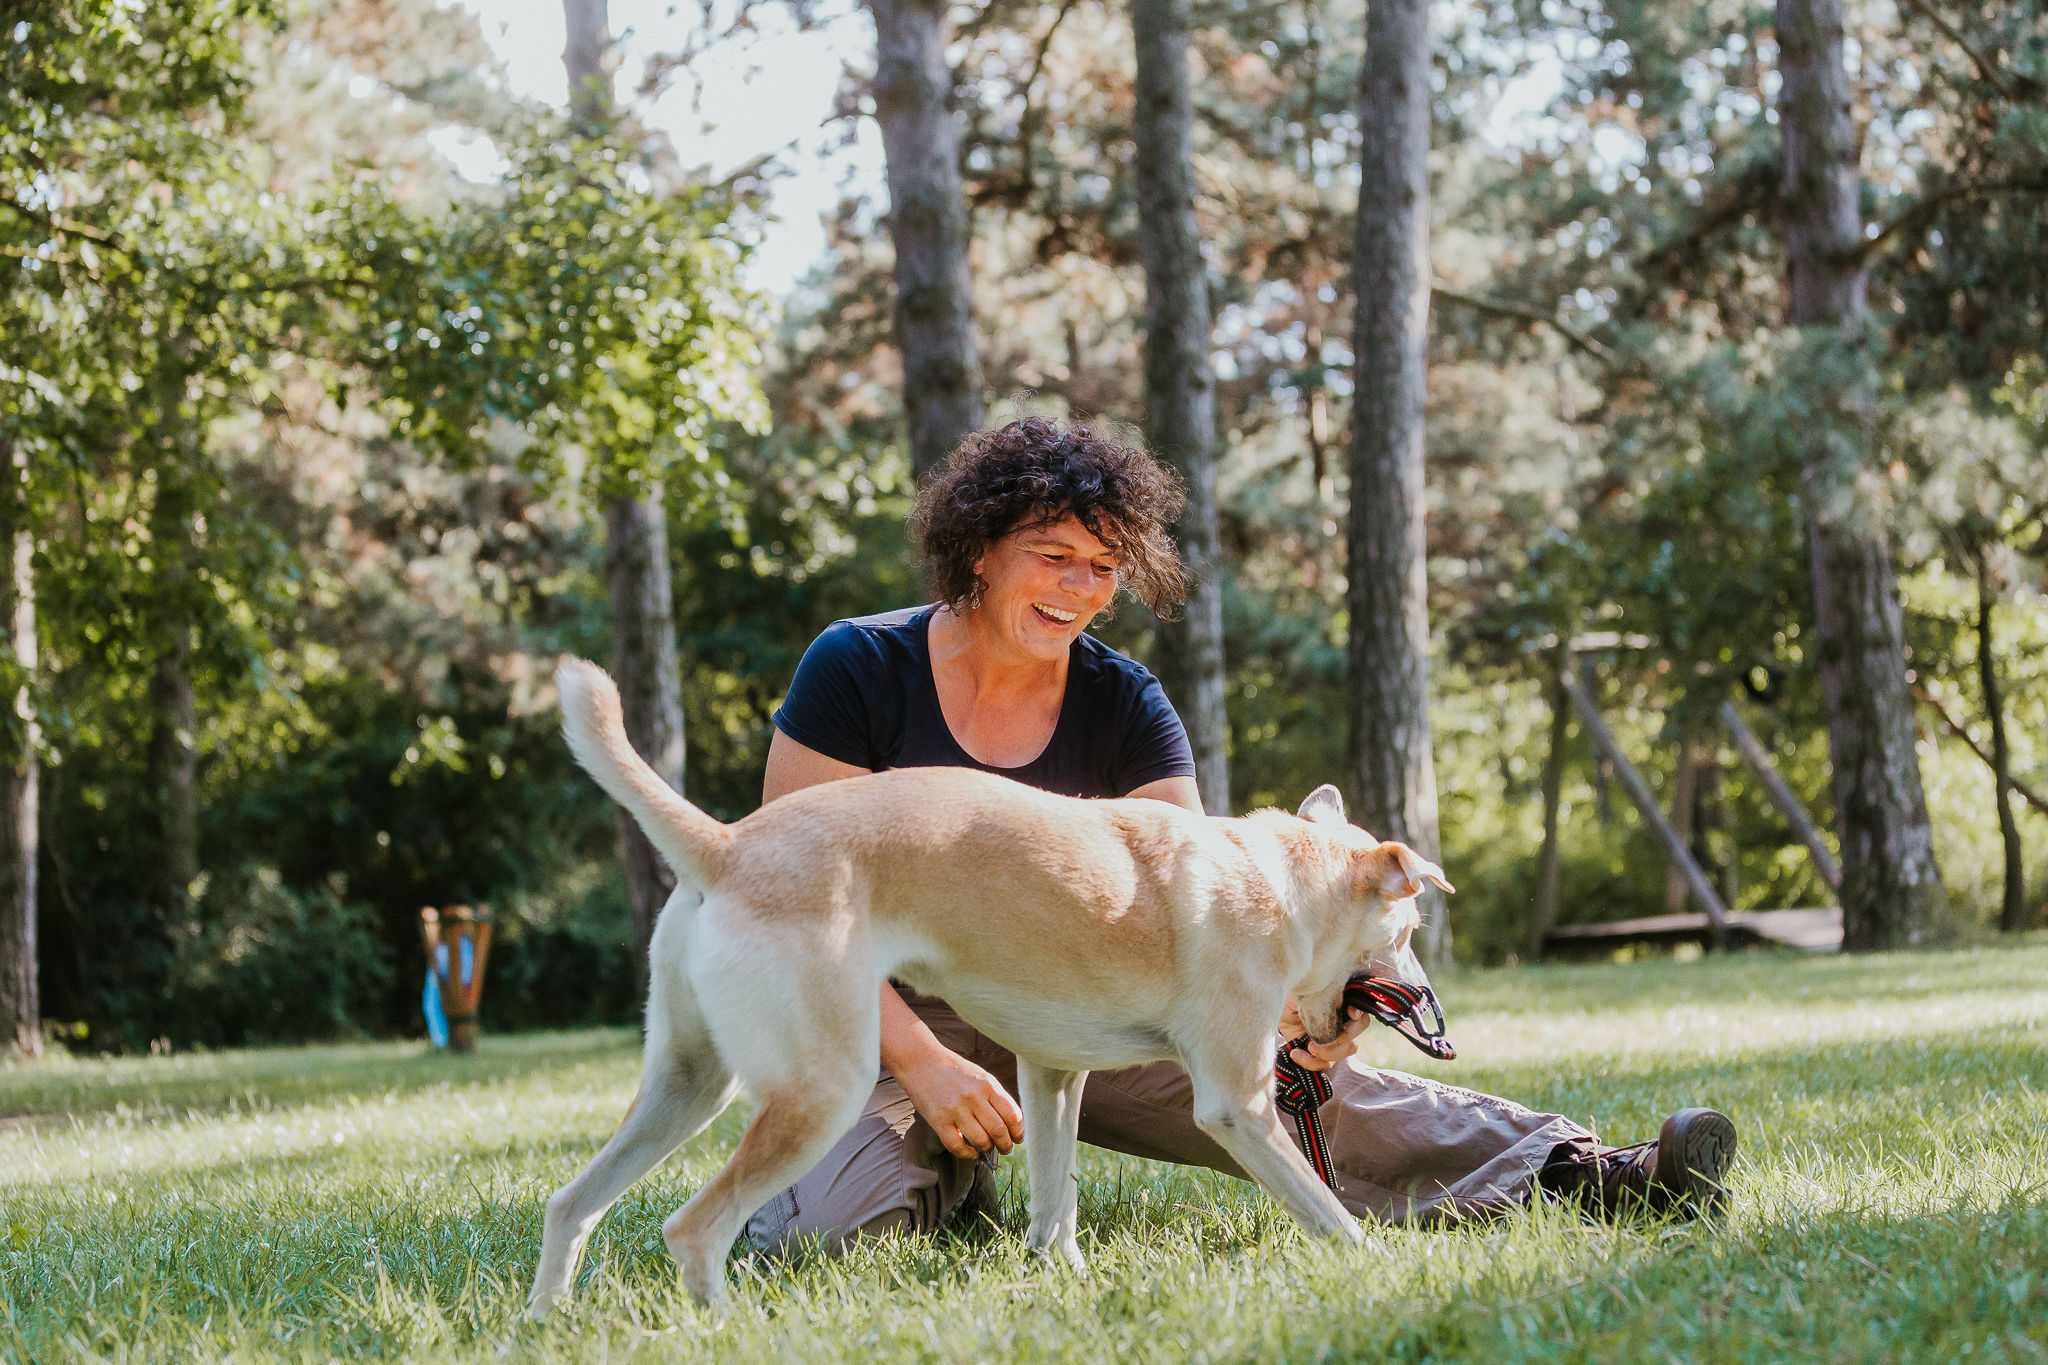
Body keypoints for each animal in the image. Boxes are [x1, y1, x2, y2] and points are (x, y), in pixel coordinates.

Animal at [527, 658, 1452, 1315]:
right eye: (1409, 932)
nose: (1428, 1005)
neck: (1278, 874)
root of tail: (726, 846)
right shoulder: (1240, 1105)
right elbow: (1321, 1202)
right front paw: (1373, 1261)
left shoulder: (1052, 1074)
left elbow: (1053, 1194)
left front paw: (1060, 1271)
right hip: (821, 1089)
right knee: (692, 1229)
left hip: (688, 1084)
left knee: (571, 1203)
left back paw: (548, 1320)